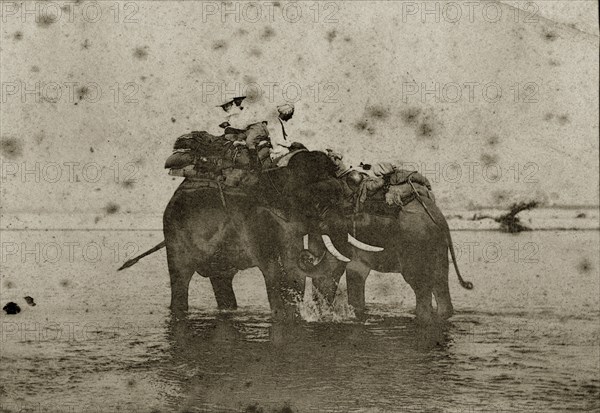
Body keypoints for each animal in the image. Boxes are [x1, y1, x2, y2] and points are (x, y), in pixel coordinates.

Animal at [162, 151, 354, 318]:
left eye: (344, 197)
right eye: (318, 204)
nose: (308, 256)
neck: (282, 174)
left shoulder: (288, 227)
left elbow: (294, 271)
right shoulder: (257, 223)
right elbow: (275, 270)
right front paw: (282, 316)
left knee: (222, 281)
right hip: (174, 235)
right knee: (180, 279)